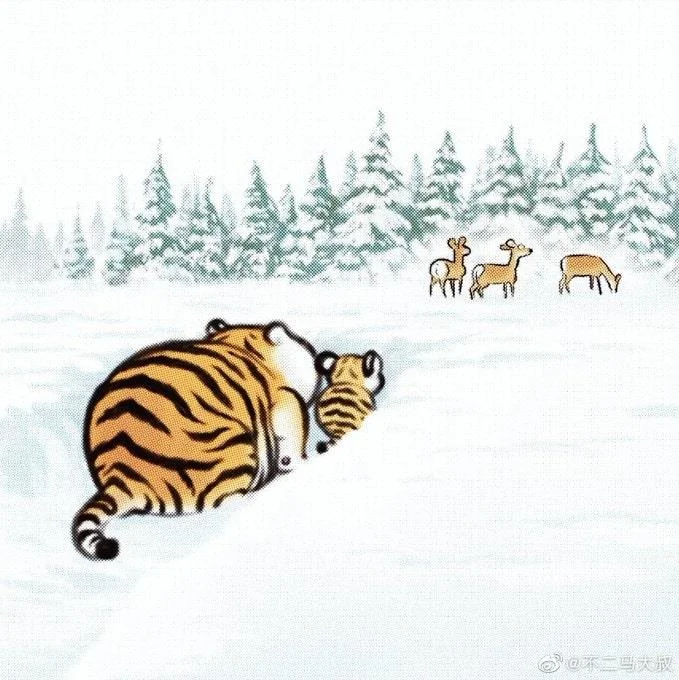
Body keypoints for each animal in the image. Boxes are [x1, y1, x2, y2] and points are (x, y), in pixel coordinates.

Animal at [72, 318, 321, 560]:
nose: (319, 357)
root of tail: (124, 476)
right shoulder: (286, 400)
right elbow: (293, 443)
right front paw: (301, 462)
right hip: (235, 452)